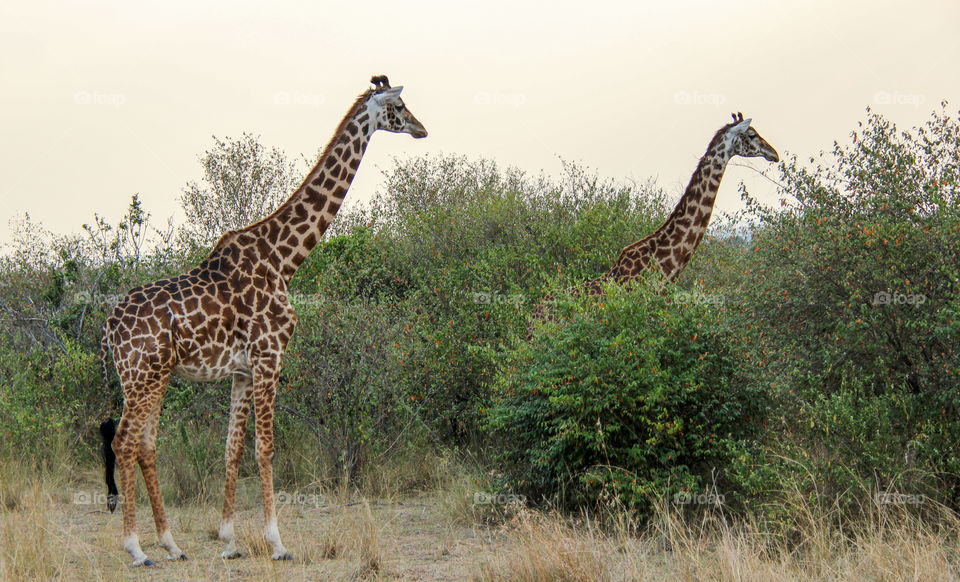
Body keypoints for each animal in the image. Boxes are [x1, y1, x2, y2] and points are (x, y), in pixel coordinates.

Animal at [97, 75, 428, 568]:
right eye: (401, 106)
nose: (423, 129)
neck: (283, 260)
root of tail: (108, 326)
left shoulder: (240, 369)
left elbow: (232, 449)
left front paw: (229, 540)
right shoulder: (270, 356)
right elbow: (265, 448)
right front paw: (277, 543)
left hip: (148, 377)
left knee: (144, 444)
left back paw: (171, 544)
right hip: (143, 375)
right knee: (124, 442)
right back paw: (137, 548)